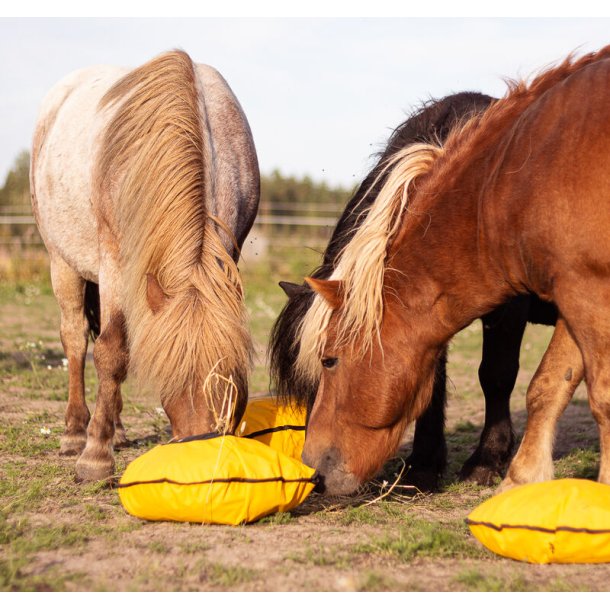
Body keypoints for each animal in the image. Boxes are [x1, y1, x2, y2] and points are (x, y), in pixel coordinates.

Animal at [29, 50, 258, 480]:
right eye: (172, 373)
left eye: (228, 372)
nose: (201, 448)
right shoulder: (115, 265)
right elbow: (111, 351)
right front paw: (95, 457)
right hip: (63, 262)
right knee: (76, 338)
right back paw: (75, 433)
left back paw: (116, 430)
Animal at [296, 47, 604, 494]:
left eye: (329, 361)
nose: (313, 475)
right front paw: (426, 465)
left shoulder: (535, 300)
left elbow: (500, 375)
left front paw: (486, 461)